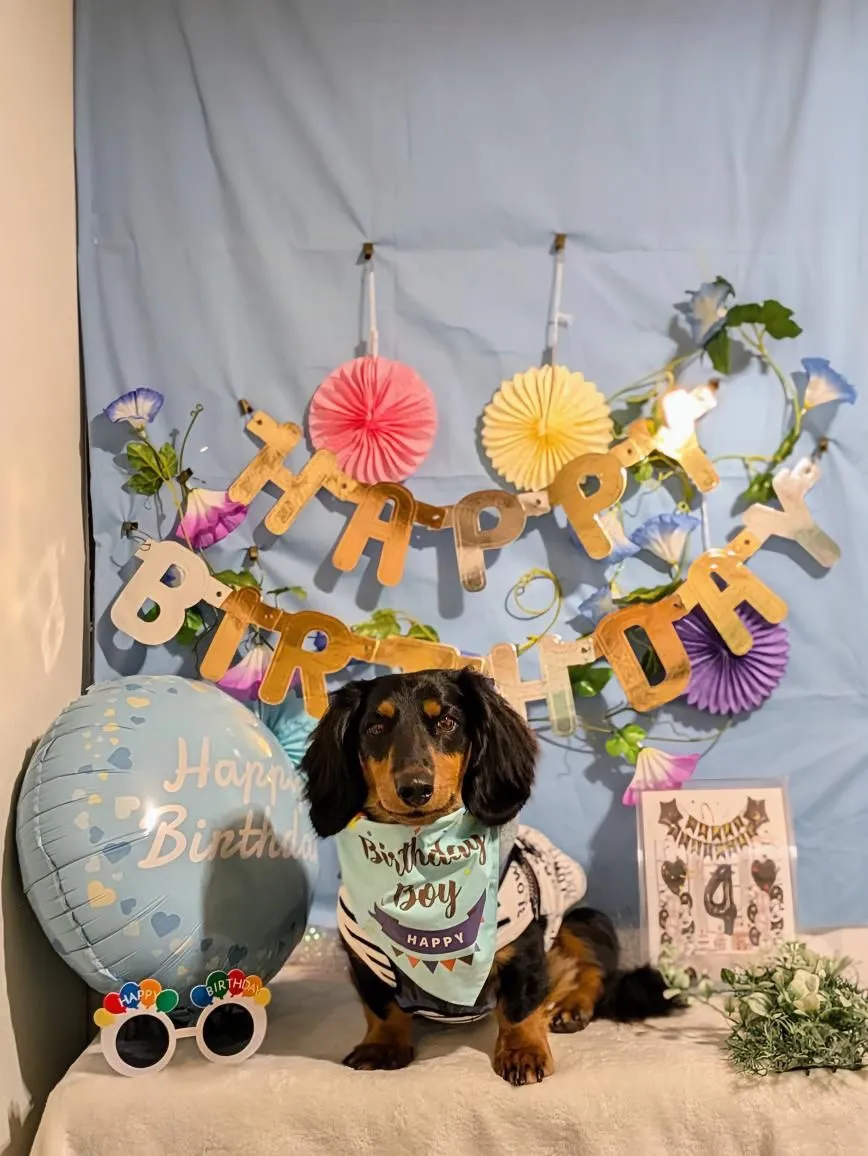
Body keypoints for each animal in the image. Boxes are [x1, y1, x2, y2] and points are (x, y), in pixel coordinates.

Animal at [301, 667, 678, 1085]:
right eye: (375, 727)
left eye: (446, 722)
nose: (415, 789)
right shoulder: (362, 953)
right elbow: (381, 1006)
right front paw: (381, 1045)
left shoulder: (523, 942)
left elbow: (520, 1006)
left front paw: (523, 1051)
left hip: (585, 919)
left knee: (593, 971)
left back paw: (571, 1005)